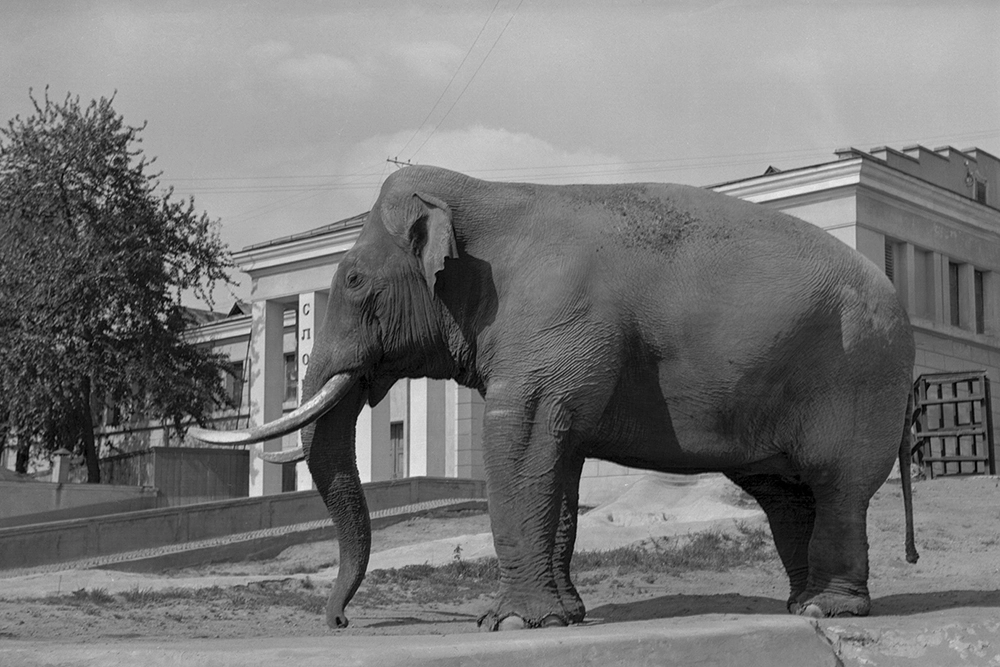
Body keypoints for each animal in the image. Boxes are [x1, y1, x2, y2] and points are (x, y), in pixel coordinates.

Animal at [191, 164, 918, 631]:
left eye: (352, 280)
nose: (339, 621)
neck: (490, 193)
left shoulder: (554, 324)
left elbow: (520, 437)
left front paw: (507, 623)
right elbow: (556, 460)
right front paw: (565, 617)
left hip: (858, 375)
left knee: (836, 485)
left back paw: (828, 609)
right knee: (786, 494)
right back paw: (797, 607)